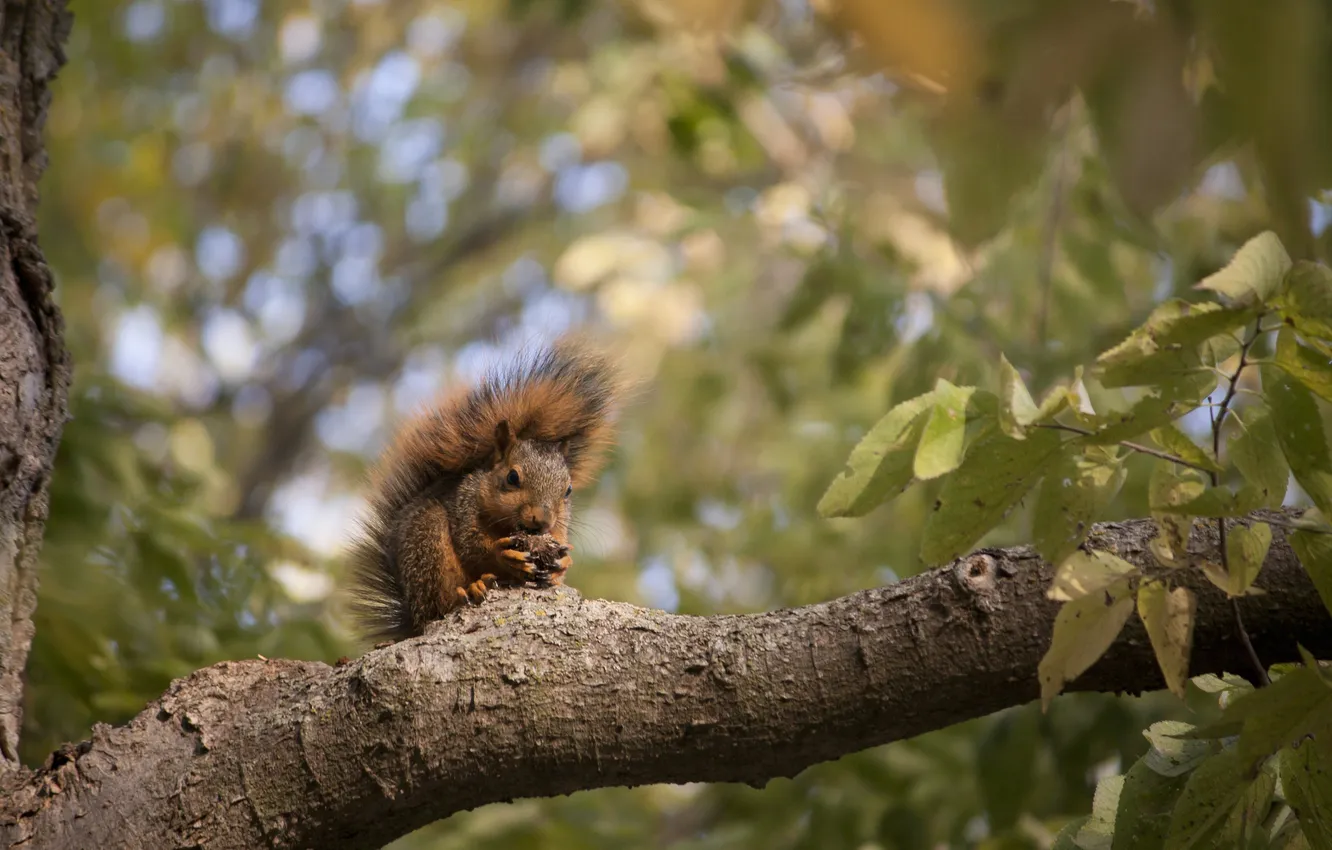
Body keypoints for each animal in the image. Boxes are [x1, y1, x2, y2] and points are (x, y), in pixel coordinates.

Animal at [348, 335, 628, 642]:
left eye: (567, 491)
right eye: (512, 477)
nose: (541, 520)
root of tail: (412, 616)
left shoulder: (559, 528)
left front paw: (561, 564)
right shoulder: (464, 506)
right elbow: (472, 546)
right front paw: (504, 556)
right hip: (427, 543)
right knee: (439, 604)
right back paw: (469, 591)